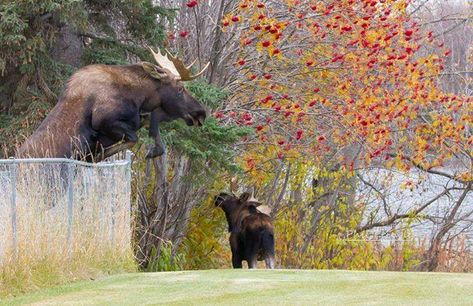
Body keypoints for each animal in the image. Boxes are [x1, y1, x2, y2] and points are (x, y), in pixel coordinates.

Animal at [18, 48, 206, 160]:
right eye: (180, 89)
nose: (201, 113)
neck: (140, 98)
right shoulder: (105, 121)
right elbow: (133, 139)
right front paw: (95, 156)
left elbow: (156, 140)